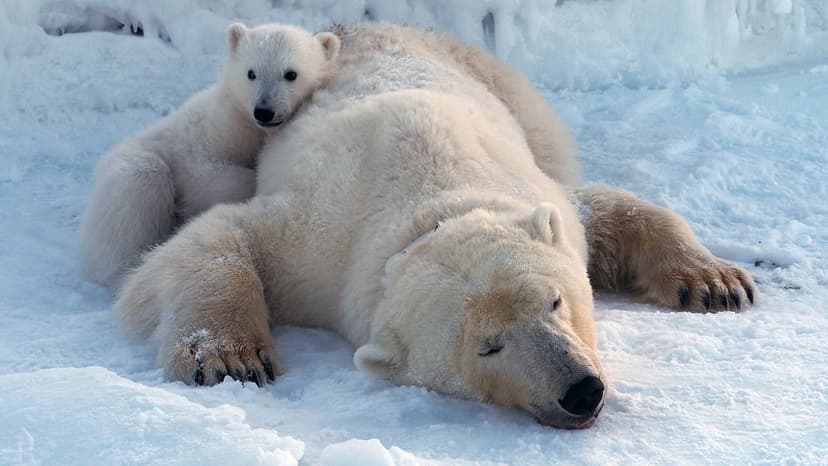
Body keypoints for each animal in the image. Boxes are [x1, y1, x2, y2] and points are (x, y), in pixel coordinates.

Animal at [78, 22, 341, 287]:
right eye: (251, 73)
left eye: (291, 74)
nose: (264, 111)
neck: (246, 125)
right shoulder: (207, 137)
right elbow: (206, 177)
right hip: (129, 168)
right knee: (139, 183)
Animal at [115, 23, 756, 429]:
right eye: (487, 347)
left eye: (554, 301)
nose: (581, 391)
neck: (429, 201)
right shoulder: (320, 243)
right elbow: (219, 238)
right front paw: (231, 359)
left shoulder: (529, 188)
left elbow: (604, 210)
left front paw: (716, 283)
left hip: (510, 91)